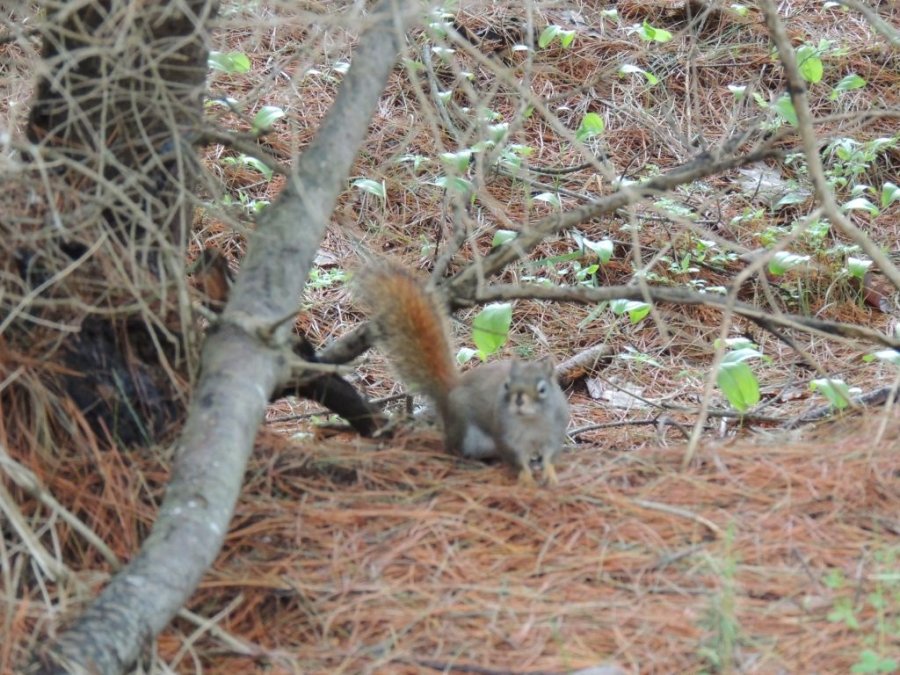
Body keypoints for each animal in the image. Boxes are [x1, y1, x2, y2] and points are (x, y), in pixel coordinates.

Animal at [356, 261, 569, 486]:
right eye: (506, 385)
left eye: (542, 389)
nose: (519, 400)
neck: (530, 421)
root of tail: (449, 391)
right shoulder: (506, 436)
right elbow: (517, 459)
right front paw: (527, 478)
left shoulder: (554, 433)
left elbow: (550, 457)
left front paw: (550, 474)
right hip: (464, 429)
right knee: (452, 447)